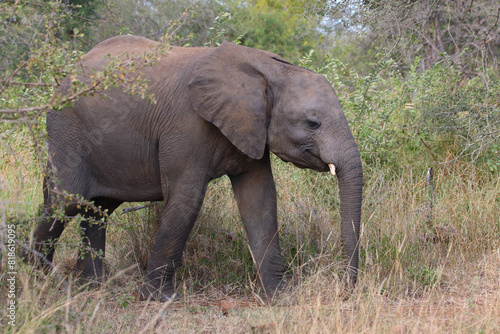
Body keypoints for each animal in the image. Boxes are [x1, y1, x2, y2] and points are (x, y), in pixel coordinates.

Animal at [29, 35, 362, 302]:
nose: (344, 291)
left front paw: (279, 298)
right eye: (312, 123)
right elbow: (186, 201)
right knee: (65, 202)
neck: (269, 69)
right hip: (67, 129)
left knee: (98, 208)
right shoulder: (186, 125)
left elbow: (261, 202)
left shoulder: (250, 128)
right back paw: (34, 277)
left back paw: (94, 286)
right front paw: (159, 300)